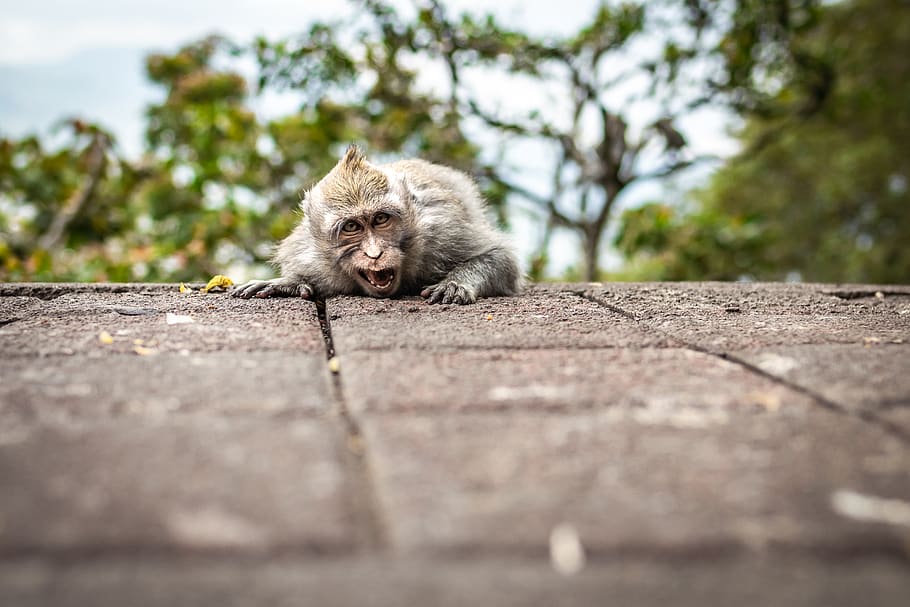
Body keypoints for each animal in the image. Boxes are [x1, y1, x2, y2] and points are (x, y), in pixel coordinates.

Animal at [231, 145, 523, 305]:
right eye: (351, 227)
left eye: (381, 219)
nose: (375, 253)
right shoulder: (309, 256)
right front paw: (287, 283)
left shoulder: (443, 231)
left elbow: (501, 258)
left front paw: (455, 283)